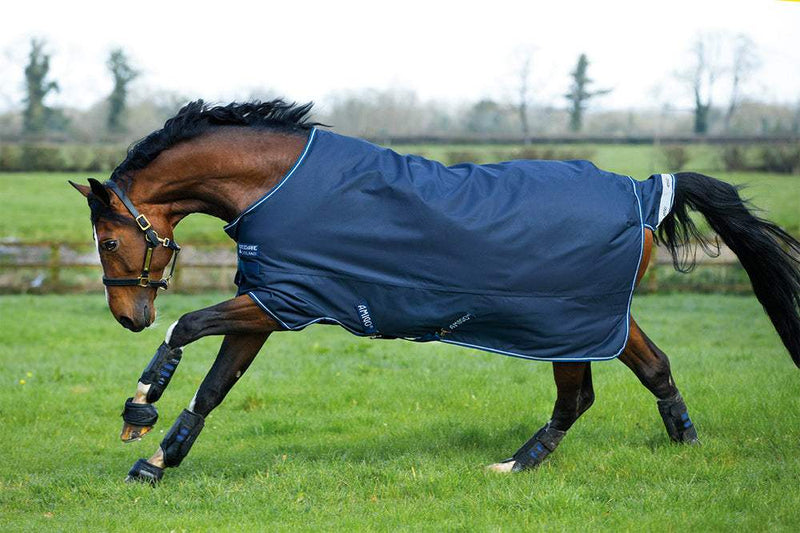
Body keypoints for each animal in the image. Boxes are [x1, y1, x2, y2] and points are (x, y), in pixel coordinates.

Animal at [69, 100, 800, 483]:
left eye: (107, 241)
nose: (128, 315)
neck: (276, 186)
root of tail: (648, 189)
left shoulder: (284, 303)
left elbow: (188, 327)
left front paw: (141, 408)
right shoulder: (271, 303)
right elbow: (216, 387)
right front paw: (158, 459)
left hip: (568, 325)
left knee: (579, 396)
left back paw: (518, 463)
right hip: (603, 321)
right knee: (654, 368)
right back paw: (686, 445)